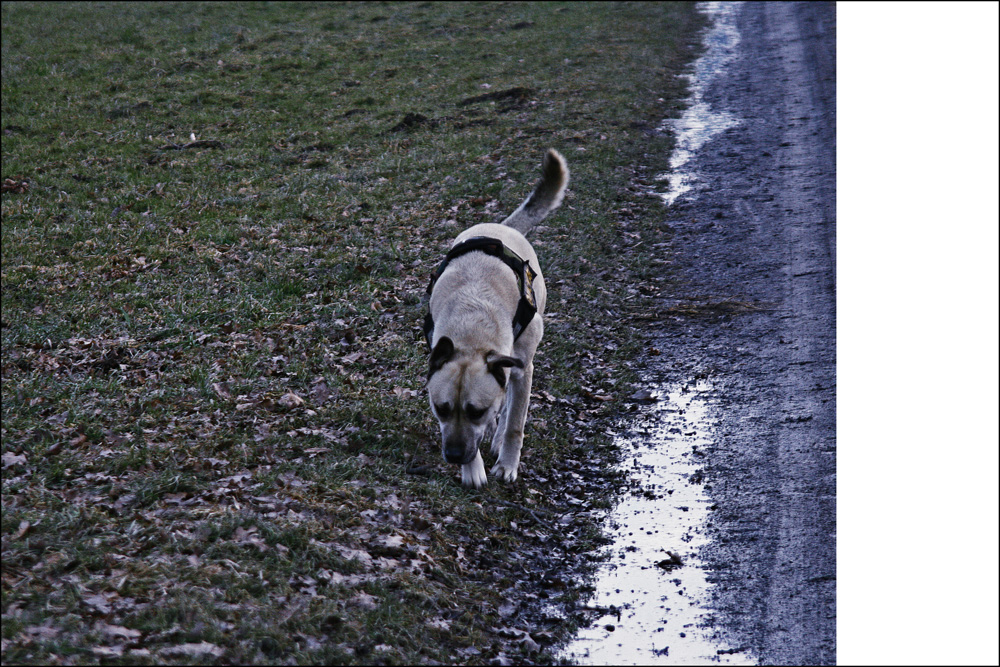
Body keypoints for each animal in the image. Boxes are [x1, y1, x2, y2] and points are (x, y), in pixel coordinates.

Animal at [424, 149, 572, 488]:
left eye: (475, 411)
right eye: (441, 409)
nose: (454, 456)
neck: (472, 326)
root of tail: (504, 227)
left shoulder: (521, 369)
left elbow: (515, 422)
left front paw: (506, 463)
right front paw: (473, 468)